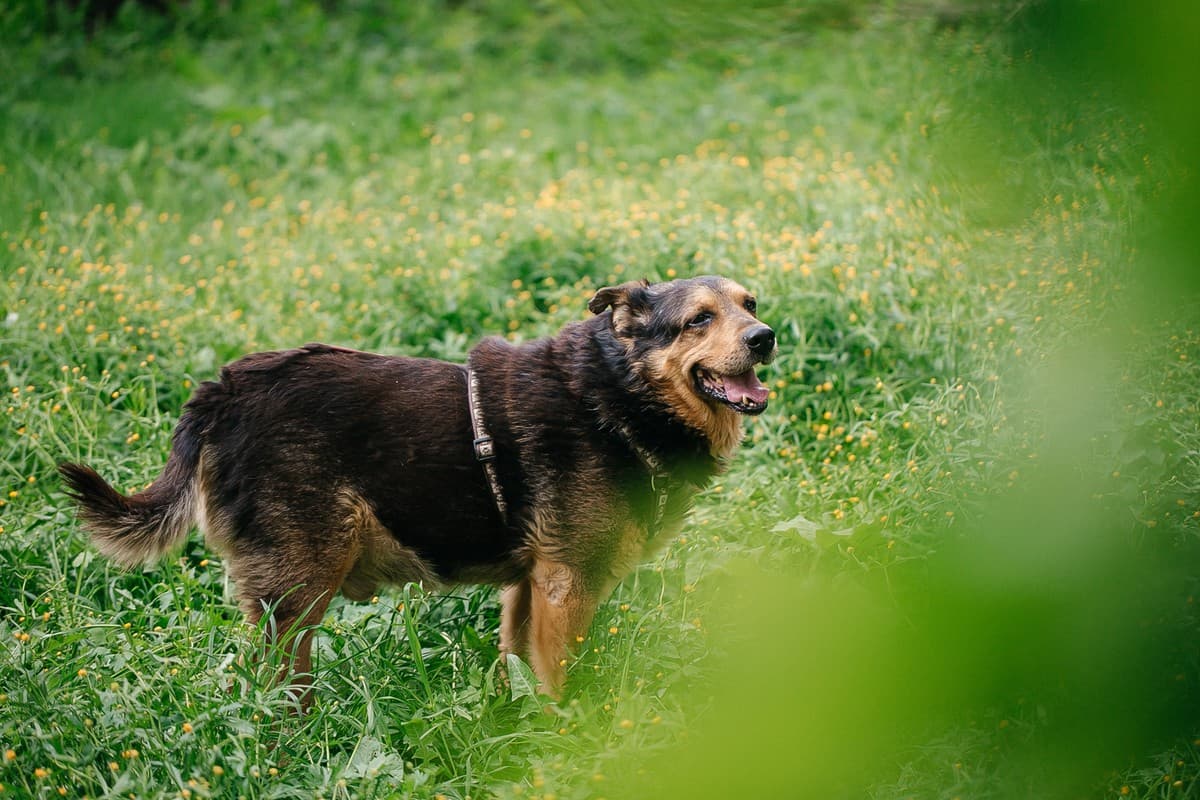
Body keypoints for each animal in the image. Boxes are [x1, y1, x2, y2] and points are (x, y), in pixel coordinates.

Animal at [60, 275, 776, 703]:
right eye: (697, 320)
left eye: (750, 306)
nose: (765, 338)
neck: (612, 393)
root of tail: (222, 391)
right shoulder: (567, 583)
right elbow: (557, 682)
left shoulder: (529, 584)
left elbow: (516, 669)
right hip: (301, 583)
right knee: (276, 683)